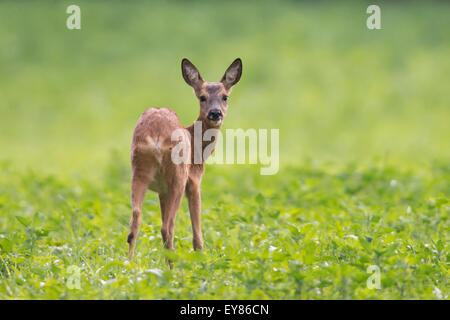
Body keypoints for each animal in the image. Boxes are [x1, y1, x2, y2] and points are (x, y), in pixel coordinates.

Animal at [126, 57, 243, 262]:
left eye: (225, 96)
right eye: (202, 97)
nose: (215, 113)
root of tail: (155, 137)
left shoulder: (161, 190)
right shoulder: (194, 181)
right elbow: (197, 234)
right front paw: (202, 260)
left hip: (139, 171)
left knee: (135, 222)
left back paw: (129, 265)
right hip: (178, 176)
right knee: (167, 227)